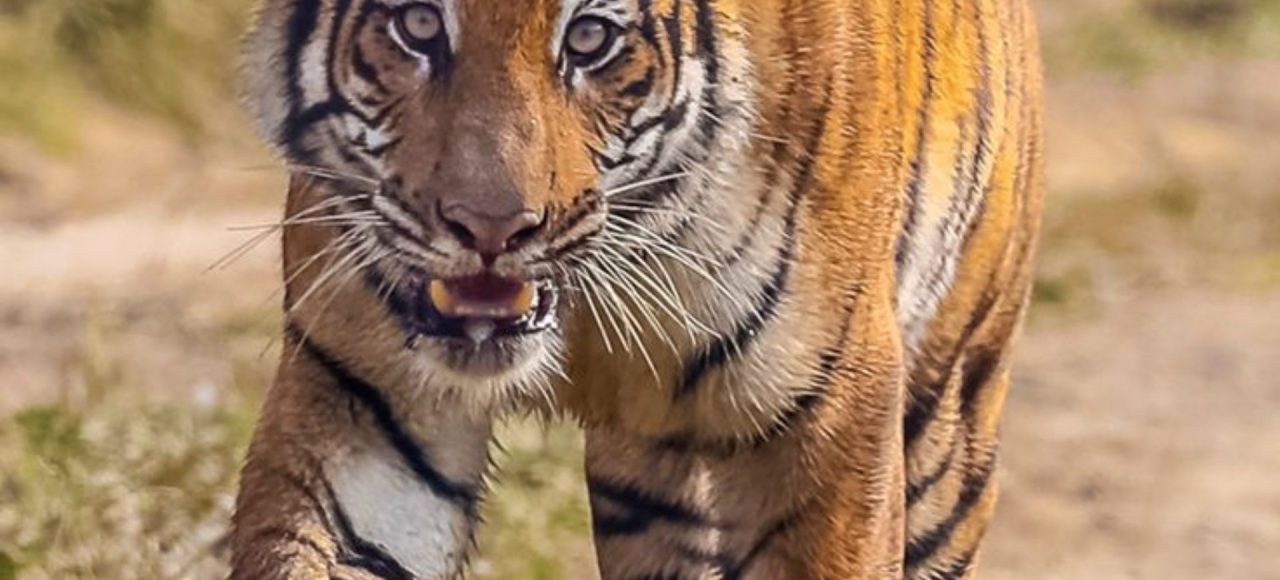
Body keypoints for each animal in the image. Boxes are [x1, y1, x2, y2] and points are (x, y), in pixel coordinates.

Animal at [229, 0, 1044, 578]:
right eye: (419, 24)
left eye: (590, 38)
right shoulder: (365, 396)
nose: (492, 229)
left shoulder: (834, 409)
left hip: (949, 424)